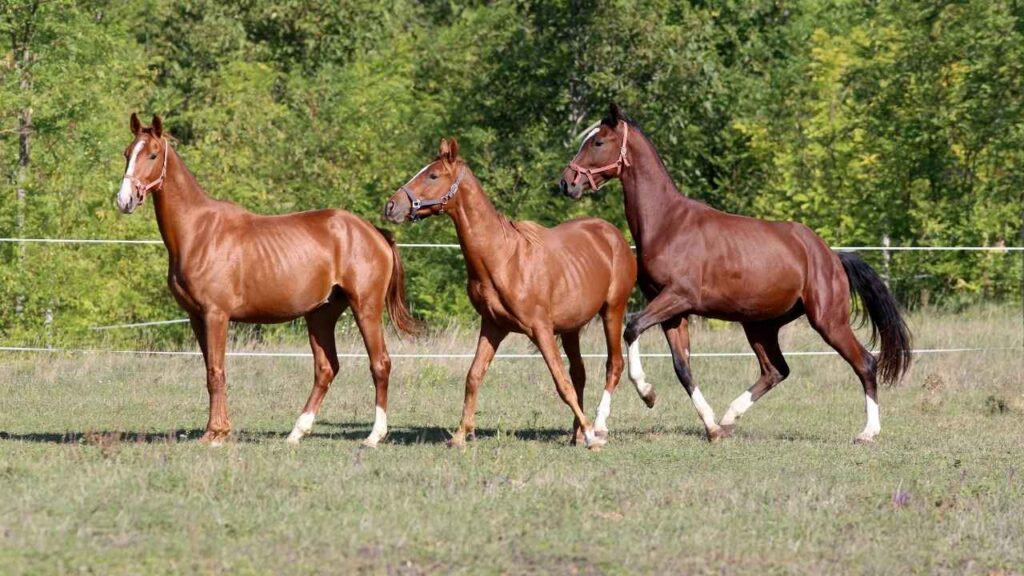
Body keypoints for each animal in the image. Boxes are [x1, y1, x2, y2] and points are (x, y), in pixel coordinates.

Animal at [115, 113, 417, 447]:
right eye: (127, 153)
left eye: (153, 154)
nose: (125, 200)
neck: (198, 231)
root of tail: (374, 231)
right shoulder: (196, 317)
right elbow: (210, 371)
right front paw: (219, 429)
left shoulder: (216, 315)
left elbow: (216, 371)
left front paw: (215, 434)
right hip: (321, 315)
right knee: (326, 368)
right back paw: (296, 432)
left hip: (366, 308)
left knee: (380, 364)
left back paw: (374, 436)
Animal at [383, 138, 637, 448]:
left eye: (432, 175)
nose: (391, 206)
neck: (502, 258)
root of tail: (613, 235)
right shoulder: (492, 326)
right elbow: (473, 376)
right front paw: (460, 435)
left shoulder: (540, 329)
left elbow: (560, 382)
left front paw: (591, 435)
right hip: (570, 329)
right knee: (579, 374)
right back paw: (576, 433)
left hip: (612, 311)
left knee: (613, 365)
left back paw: (596, 429)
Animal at [559, 104, 912, 443]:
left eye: (597, 141)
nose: (566, 183)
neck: (667, 223)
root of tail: (831, 257)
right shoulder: (674, 311)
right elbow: (683, 368)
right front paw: (710, 426)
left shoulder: (677, 297)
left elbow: (632, 328)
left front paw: (646, 394)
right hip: (760, 325)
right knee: (776, 370)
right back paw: (729, 419)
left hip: (829, 321)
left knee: (865, 362)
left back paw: (868, 432)